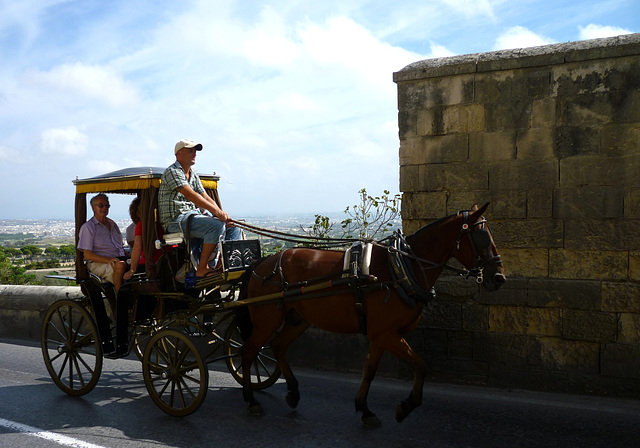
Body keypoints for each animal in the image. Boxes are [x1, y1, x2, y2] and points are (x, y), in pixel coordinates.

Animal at [236, 203, 504, 428]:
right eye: (482, 237)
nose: (499, 278)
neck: (400, 268)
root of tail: (262, 263)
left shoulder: (380, 335)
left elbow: (370, 370)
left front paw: (365, 409)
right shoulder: (386, 334)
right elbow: (420, 366)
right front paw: (405, 407)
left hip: (299, 319)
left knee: (278, 346)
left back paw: (292, 392)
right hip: (266, 321)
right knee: (248, 352)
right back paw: (250, 400)